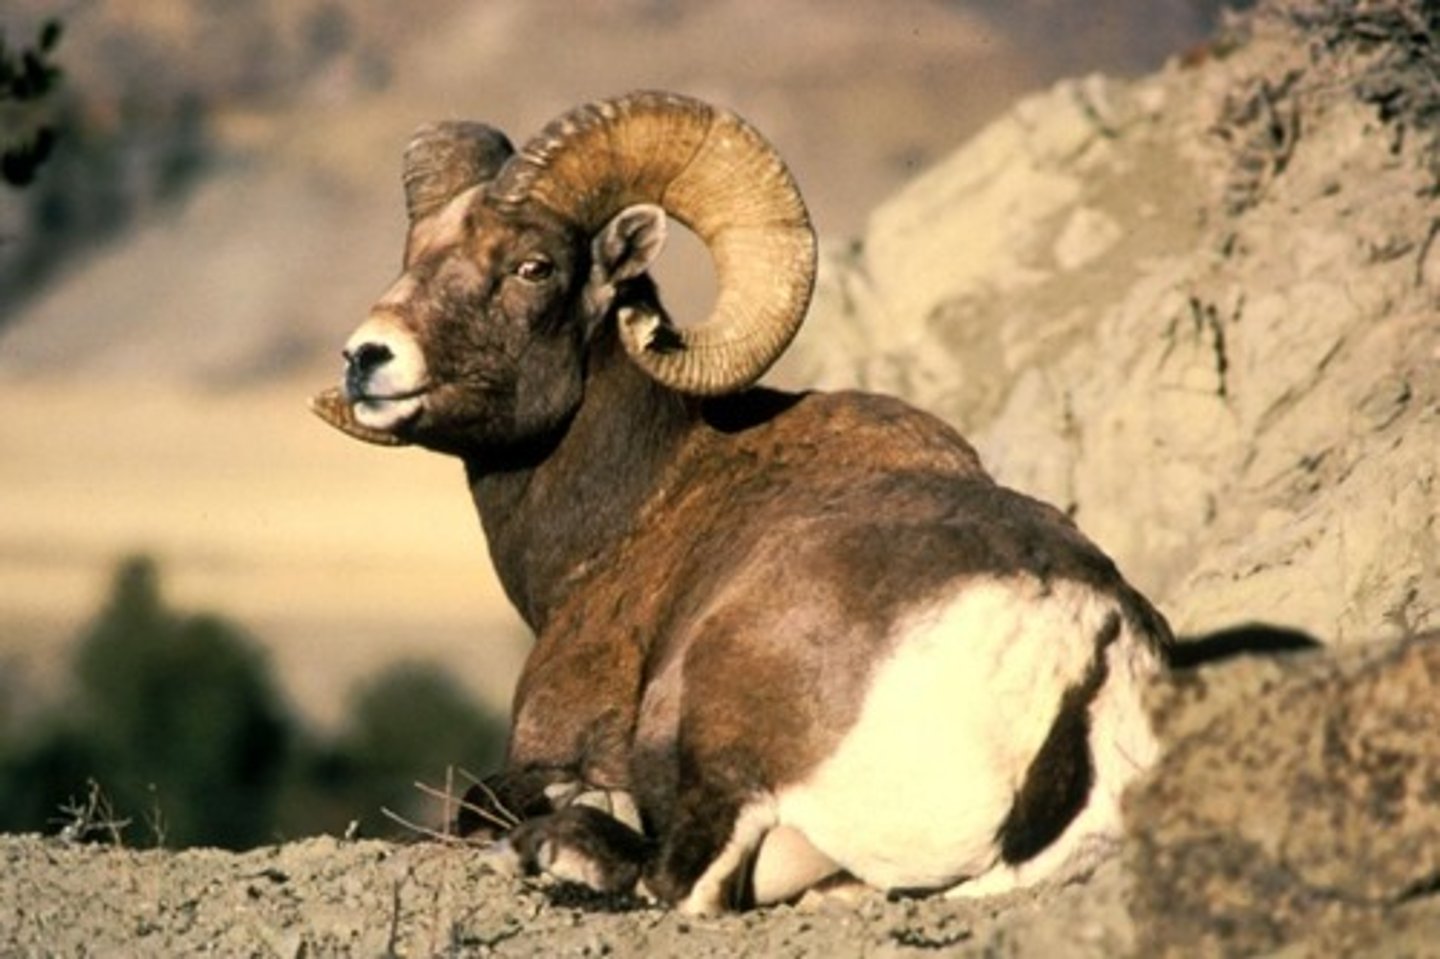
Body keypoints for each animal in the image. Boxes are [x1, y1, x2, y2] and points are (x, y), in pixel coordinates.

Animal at [312, 90, 1172, 914]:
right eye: (414, 255)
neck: (642, 505)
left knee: (677, 880)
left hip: (719, 728)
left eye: (534, 266)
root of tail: (1080, 645)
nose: (368, 357)